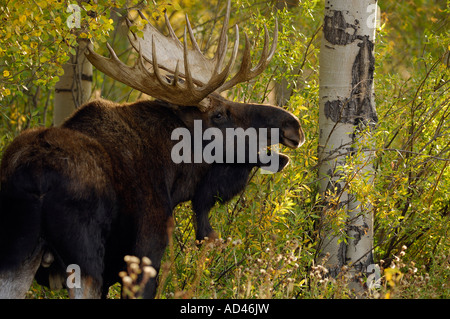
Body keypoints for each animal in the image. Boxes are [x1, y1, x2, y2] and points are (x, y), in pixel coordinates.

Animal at [0, 0, 306, 300]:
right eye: (219, 114)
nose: (293, 126)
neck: (176, 178)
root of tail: (36, 178)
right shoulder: (146, 253)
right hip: (85, 259)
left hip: (16, 258)